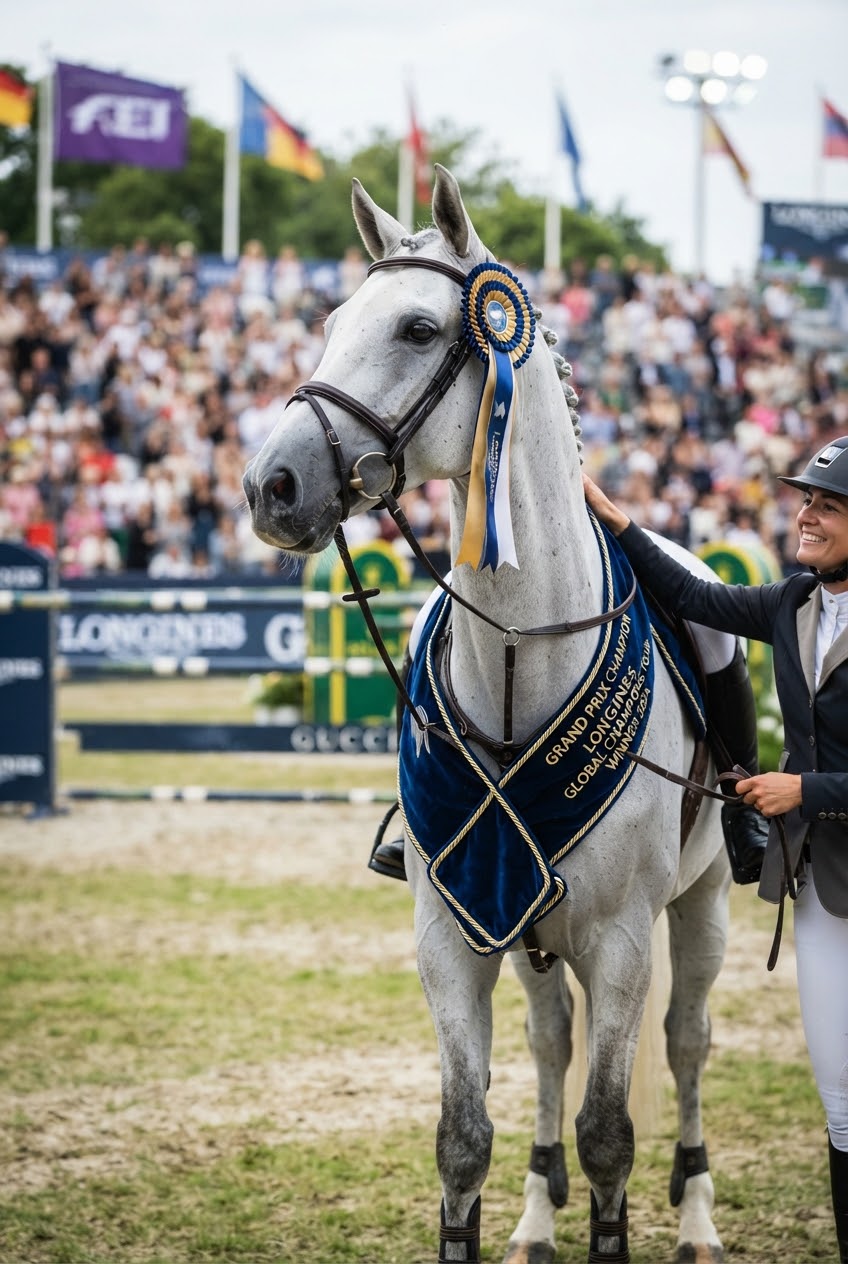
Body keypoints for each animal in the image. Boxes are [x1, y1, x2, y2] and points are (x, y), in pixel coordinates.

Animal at [243, 166, 731, 1264]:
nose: (269, 485)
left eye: (420, 328)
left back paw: (694, 1215)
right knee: (551, 1044)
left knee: (684, 1045)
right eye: (332, 323)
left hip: (702, 903)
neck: (519, 658)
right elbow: (463, 1137)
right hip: (528, 929)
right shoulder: (452, 932)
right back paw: (538, 1216)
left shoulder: (621, 941)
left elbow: (609, 1135)